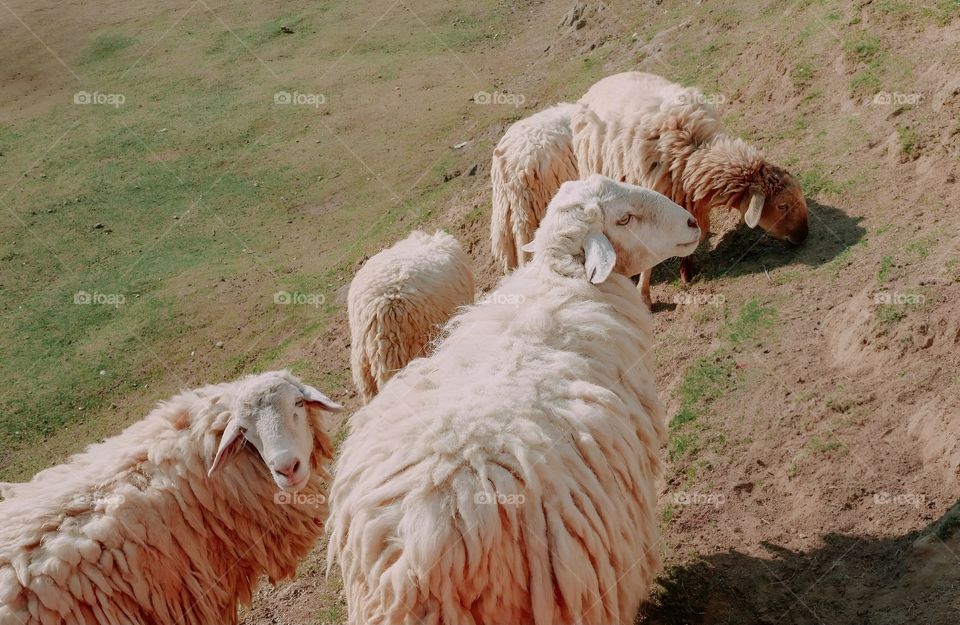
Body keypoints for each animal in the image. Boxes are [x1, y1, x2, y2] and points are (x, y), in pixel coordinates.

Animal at [576, 71, 809, 305]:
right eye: (782, 206)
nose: (803, 237)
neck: (693, 151)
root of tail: (609, 77)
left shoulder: (691, 202)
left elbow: (695, 231)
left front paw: (686, 271)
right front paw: (644, 295)